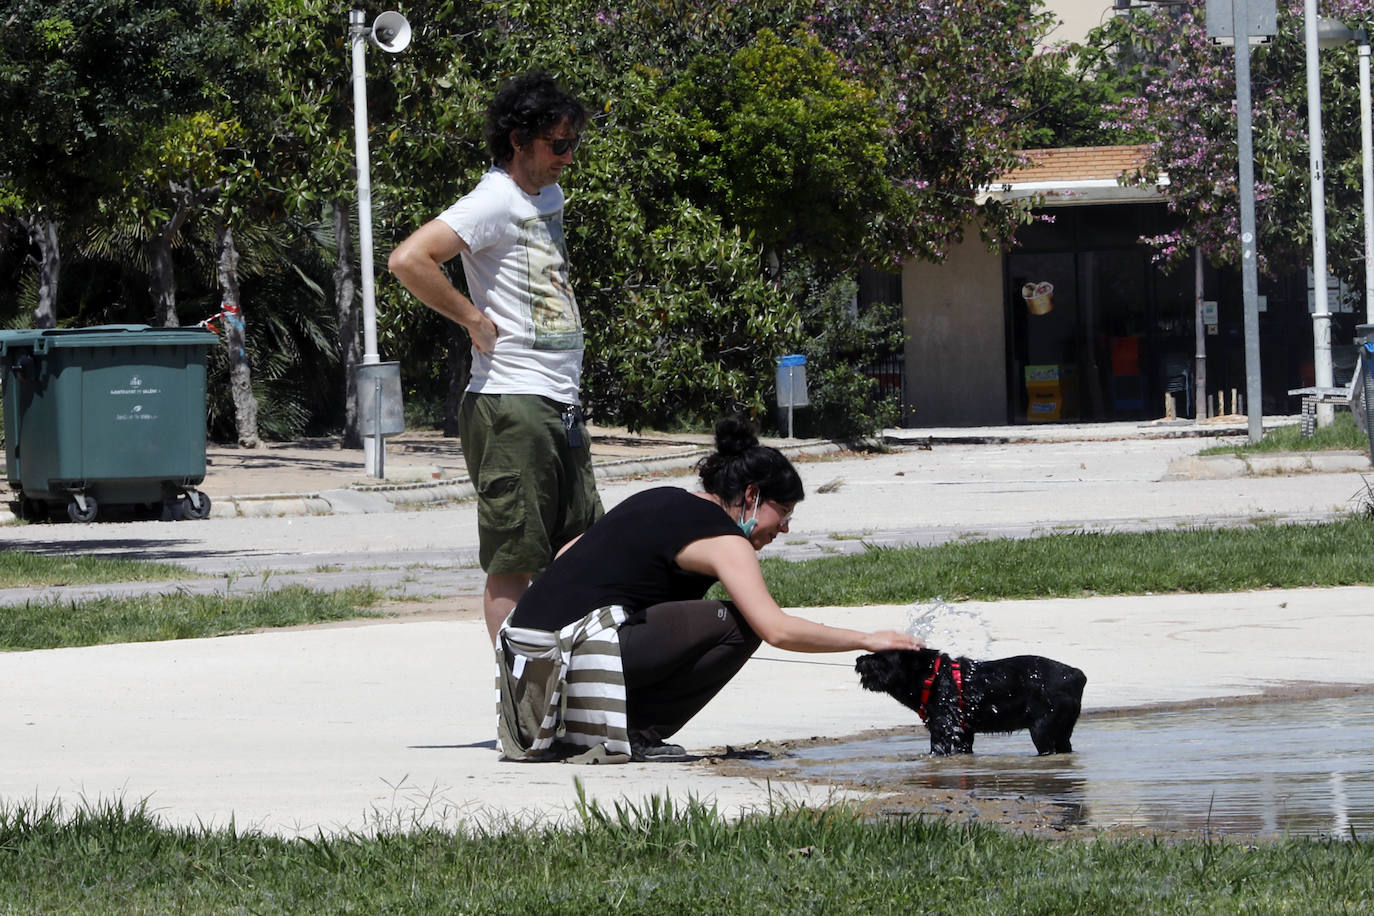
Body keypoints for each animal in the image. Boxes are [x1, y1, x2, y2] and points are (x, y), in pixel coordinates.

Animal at [851, 648, 1088, 758]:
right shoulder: (963, 734)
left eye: (881, 658)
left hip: (1043, 729)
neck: (931, 678)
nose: (858, 659)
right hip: (1062, 730)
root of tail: (1077, 675)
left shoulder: (943, 731)